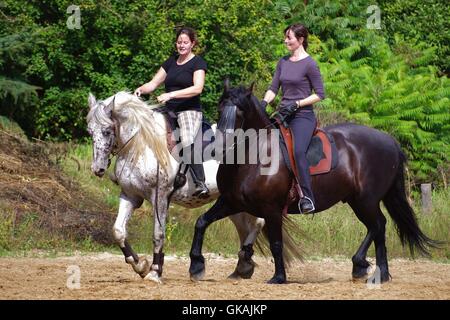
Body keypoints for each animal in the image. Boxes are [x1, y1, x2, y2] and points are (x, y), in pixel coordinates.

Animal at [188, 84, 438, 284]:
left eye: (240, 111)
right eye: (220, 108)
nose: (220, 145)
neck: (254, 157)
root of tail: (389, 141)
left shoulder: (271, 209)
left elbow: (276, 243)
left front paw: (279, 277)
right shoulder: (231, 202)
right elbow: (201, 223)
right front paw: (196, 266)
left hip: (365, 200)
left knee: (378, 225)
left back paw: (368, 268)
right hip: (358, 201)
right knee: (378, 227)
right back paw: (375, 272)